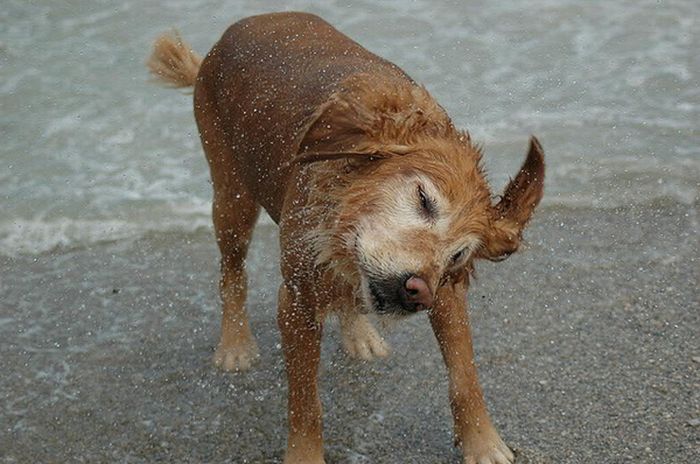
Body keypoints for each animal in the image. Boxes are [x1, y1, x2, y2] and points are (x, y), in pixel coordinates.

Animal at [146, 11, 540, 464]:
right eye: (424, 199)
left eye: (458, 255)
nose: (418, 292)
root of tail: (242, 26)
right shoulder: (297, 300)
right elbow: (305, 403)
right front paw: (304, 455)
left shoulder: (446, 293)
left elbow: (464, 374)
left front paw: (483, 441)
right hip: (232, 197)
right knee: (231, 272)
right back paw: (235, 344)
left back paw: (359, 334)